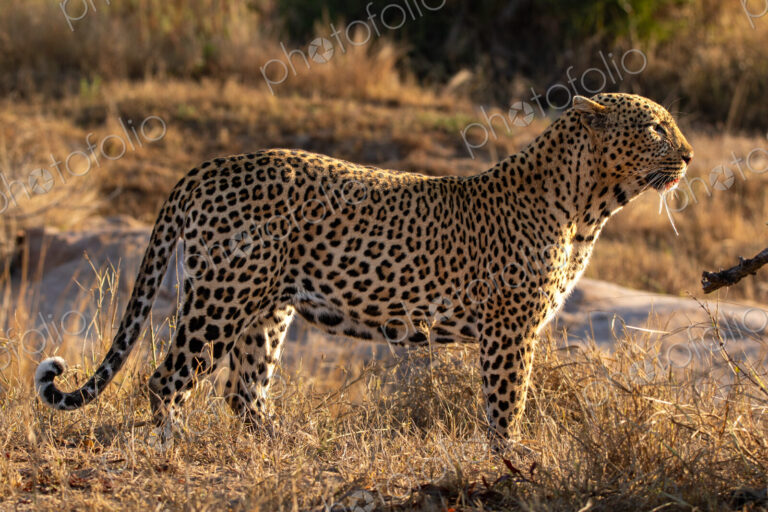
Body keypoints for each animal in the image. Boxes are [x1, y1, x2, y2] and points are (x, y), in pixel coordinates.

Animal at [35, 93, 693, 443]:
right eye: (655, 128)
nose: (688, 155)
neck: (588, 209)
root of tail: (208, 166)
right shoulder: (510, 330)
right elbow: (507, 404)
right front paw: (515, 459)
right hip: (221, 298)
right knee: (167, 378)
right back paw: (174, 446)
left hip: (266, 308)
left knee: (245, 391)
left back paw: (284, 443)